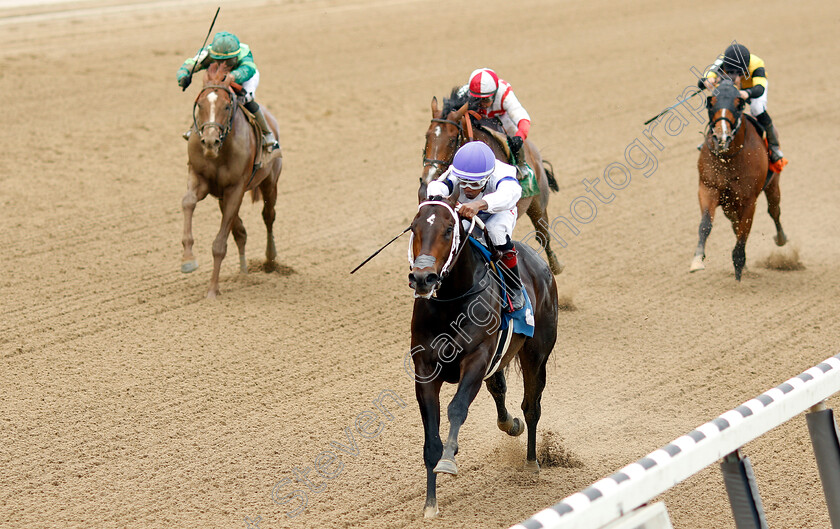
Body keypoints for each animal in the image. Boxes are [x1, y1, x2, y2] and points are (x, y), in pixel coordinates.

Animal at [179, 63, 284, 296]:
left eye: (227, 106)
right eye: (200, 104)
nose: (210, 141)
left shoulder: (235, 189)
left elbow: (220, 244)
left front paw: (212, 290)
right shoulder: (199, 178)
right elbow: (188, 202)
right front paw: (188, 259)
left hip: (269, 182)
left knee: (268, 216)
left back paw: (270, 260)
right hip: (221, 197)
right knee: (240, 232)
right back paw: (243, 272)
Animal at [406, 194, 556, 516]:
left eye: (449, 229)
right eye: (414, 227)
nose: (423, 278)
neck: (451, 303)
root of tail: (538, 261)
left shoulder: (476, 360)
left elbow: (457, 408)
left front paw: (449, 460)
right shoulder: (425, 369)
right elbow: (431, 438)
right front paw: (431, 504)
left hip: (536, 355)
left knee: (532, 406)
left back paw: (531, 463)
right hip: (498, 360)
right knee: (499, 388)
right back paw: (510, 424)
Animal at [420, 86, 564, 274]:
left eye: (452, 140)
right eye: (427, 136)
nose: (428, 178)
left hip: (538, 204)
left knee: (542, 235)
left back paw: (555, 266)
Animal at [692, 79, 784, 280]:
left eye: (737, 104)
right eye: (712, 103)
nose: (722, 136)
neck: (728, 158)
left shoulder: (749, 199)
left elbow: (744, 232)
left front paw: (739, 265)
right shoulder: (708, 188)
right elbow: (705, 224)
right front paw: (697, 259)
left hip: (773, 183)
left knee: (774, 211)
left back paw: (781, 238)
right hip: (729, 204)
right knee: (735, 223)